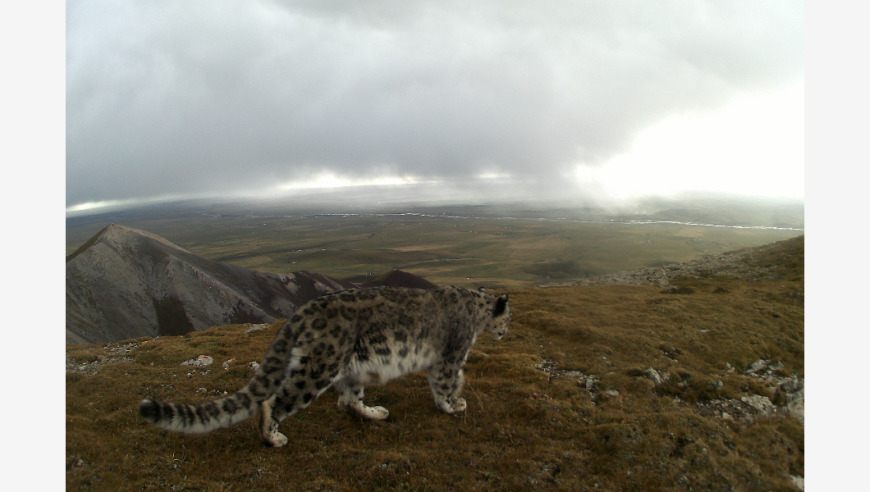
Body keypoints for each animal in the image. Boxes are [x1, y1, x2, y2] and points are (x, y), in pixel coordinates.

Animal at [141, 282, 516, 448]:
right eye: (508, 317)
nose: (506, 332)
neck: (476, 316)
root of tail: (303, 311)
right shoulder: (450, 357)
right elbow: (447, 383)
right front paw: (454, 406)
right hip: (318, 367)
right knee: (274, 400)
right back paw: (273, 437)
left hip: (352, 367)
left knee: (347, 400)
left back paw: (375, 413)